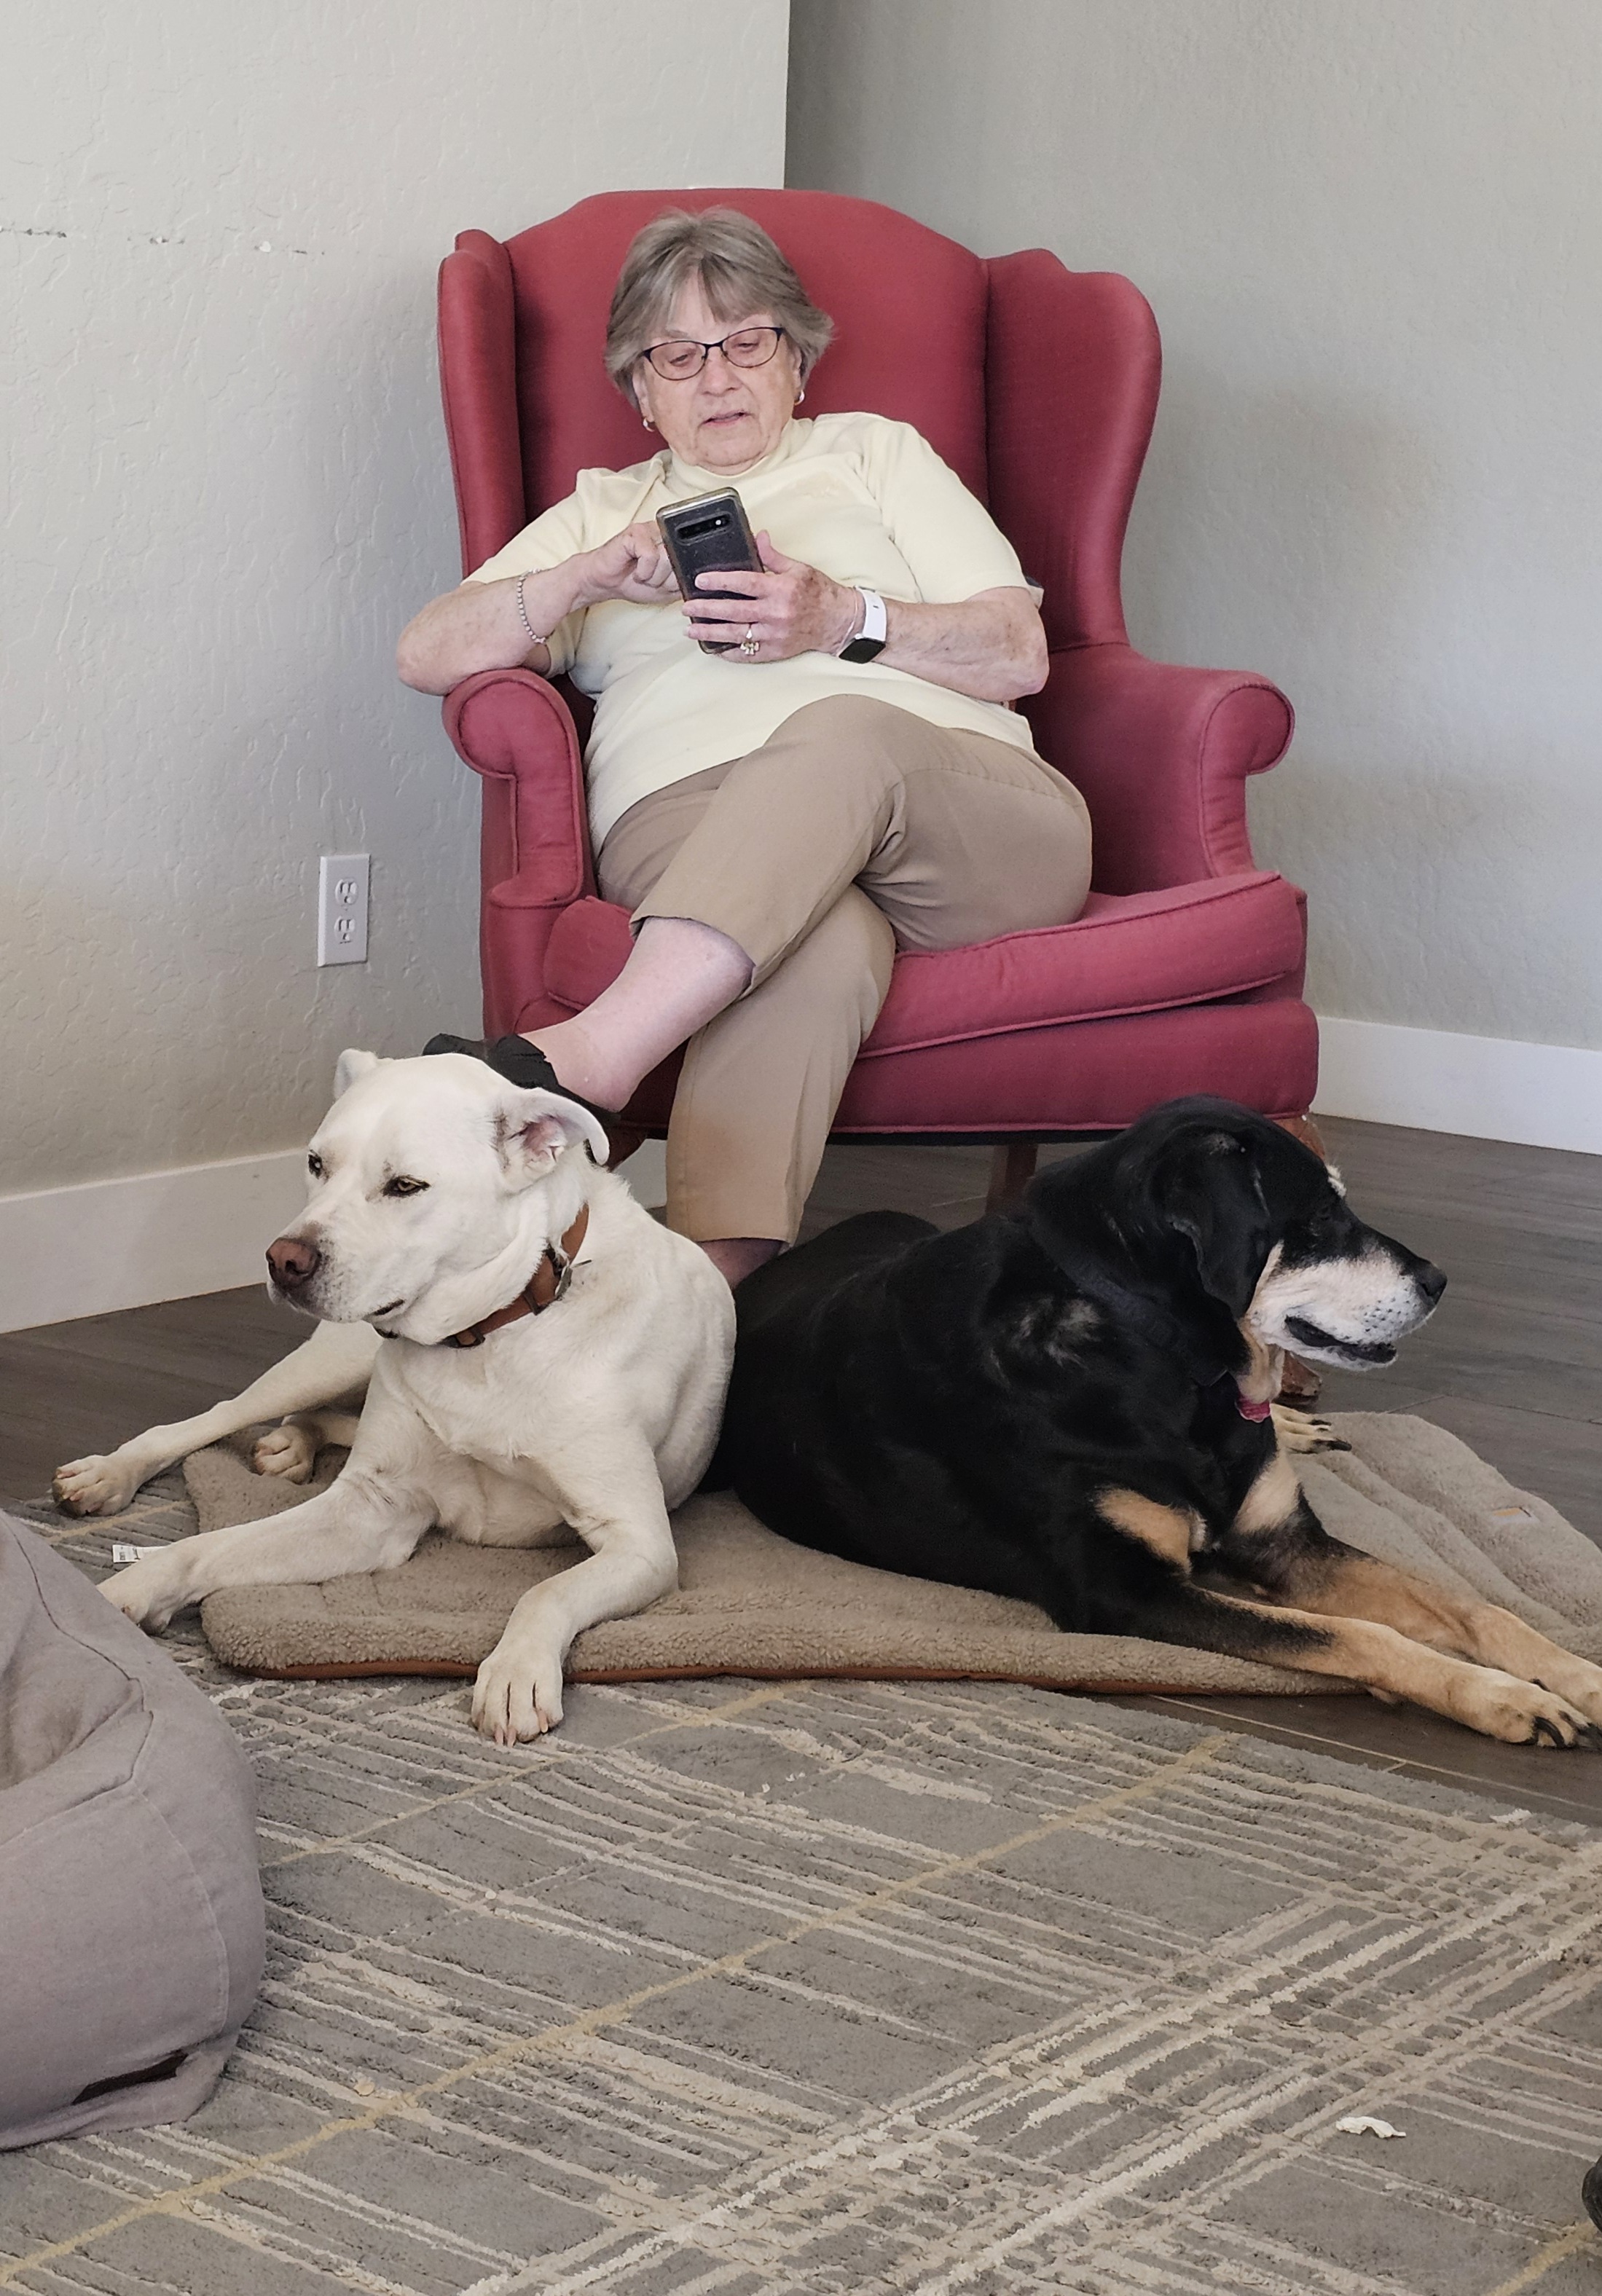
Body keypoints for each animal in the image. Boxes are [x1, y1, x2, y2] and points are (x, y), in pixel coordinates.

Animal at [64, 1051, 734, 1742]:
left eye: (406, 1187)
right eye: (316, 1163)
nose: (283, 1260)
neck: (492, 1330)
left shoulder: (639, 1544)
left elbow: (547, 1590)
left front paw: (515, 1671)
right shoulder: (368, 1510)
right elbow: (208, 1547)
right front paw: (122, 1596)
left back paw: (292, 1445)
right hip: (333, 1358)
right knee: (221, 1417)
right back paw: (113, 1473)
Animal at [715, 1095, 1602, 1749]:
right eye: (1317, 1219)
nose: (1439, 1280)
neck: (1166, 1357)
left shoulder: (1285, 1543)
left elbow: (1475, 1607)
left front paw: (1576, 1675)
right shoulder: (1126, 1594)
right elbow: (1360, 1635)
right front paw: (1504, 1697)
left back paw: (1300, 1428)